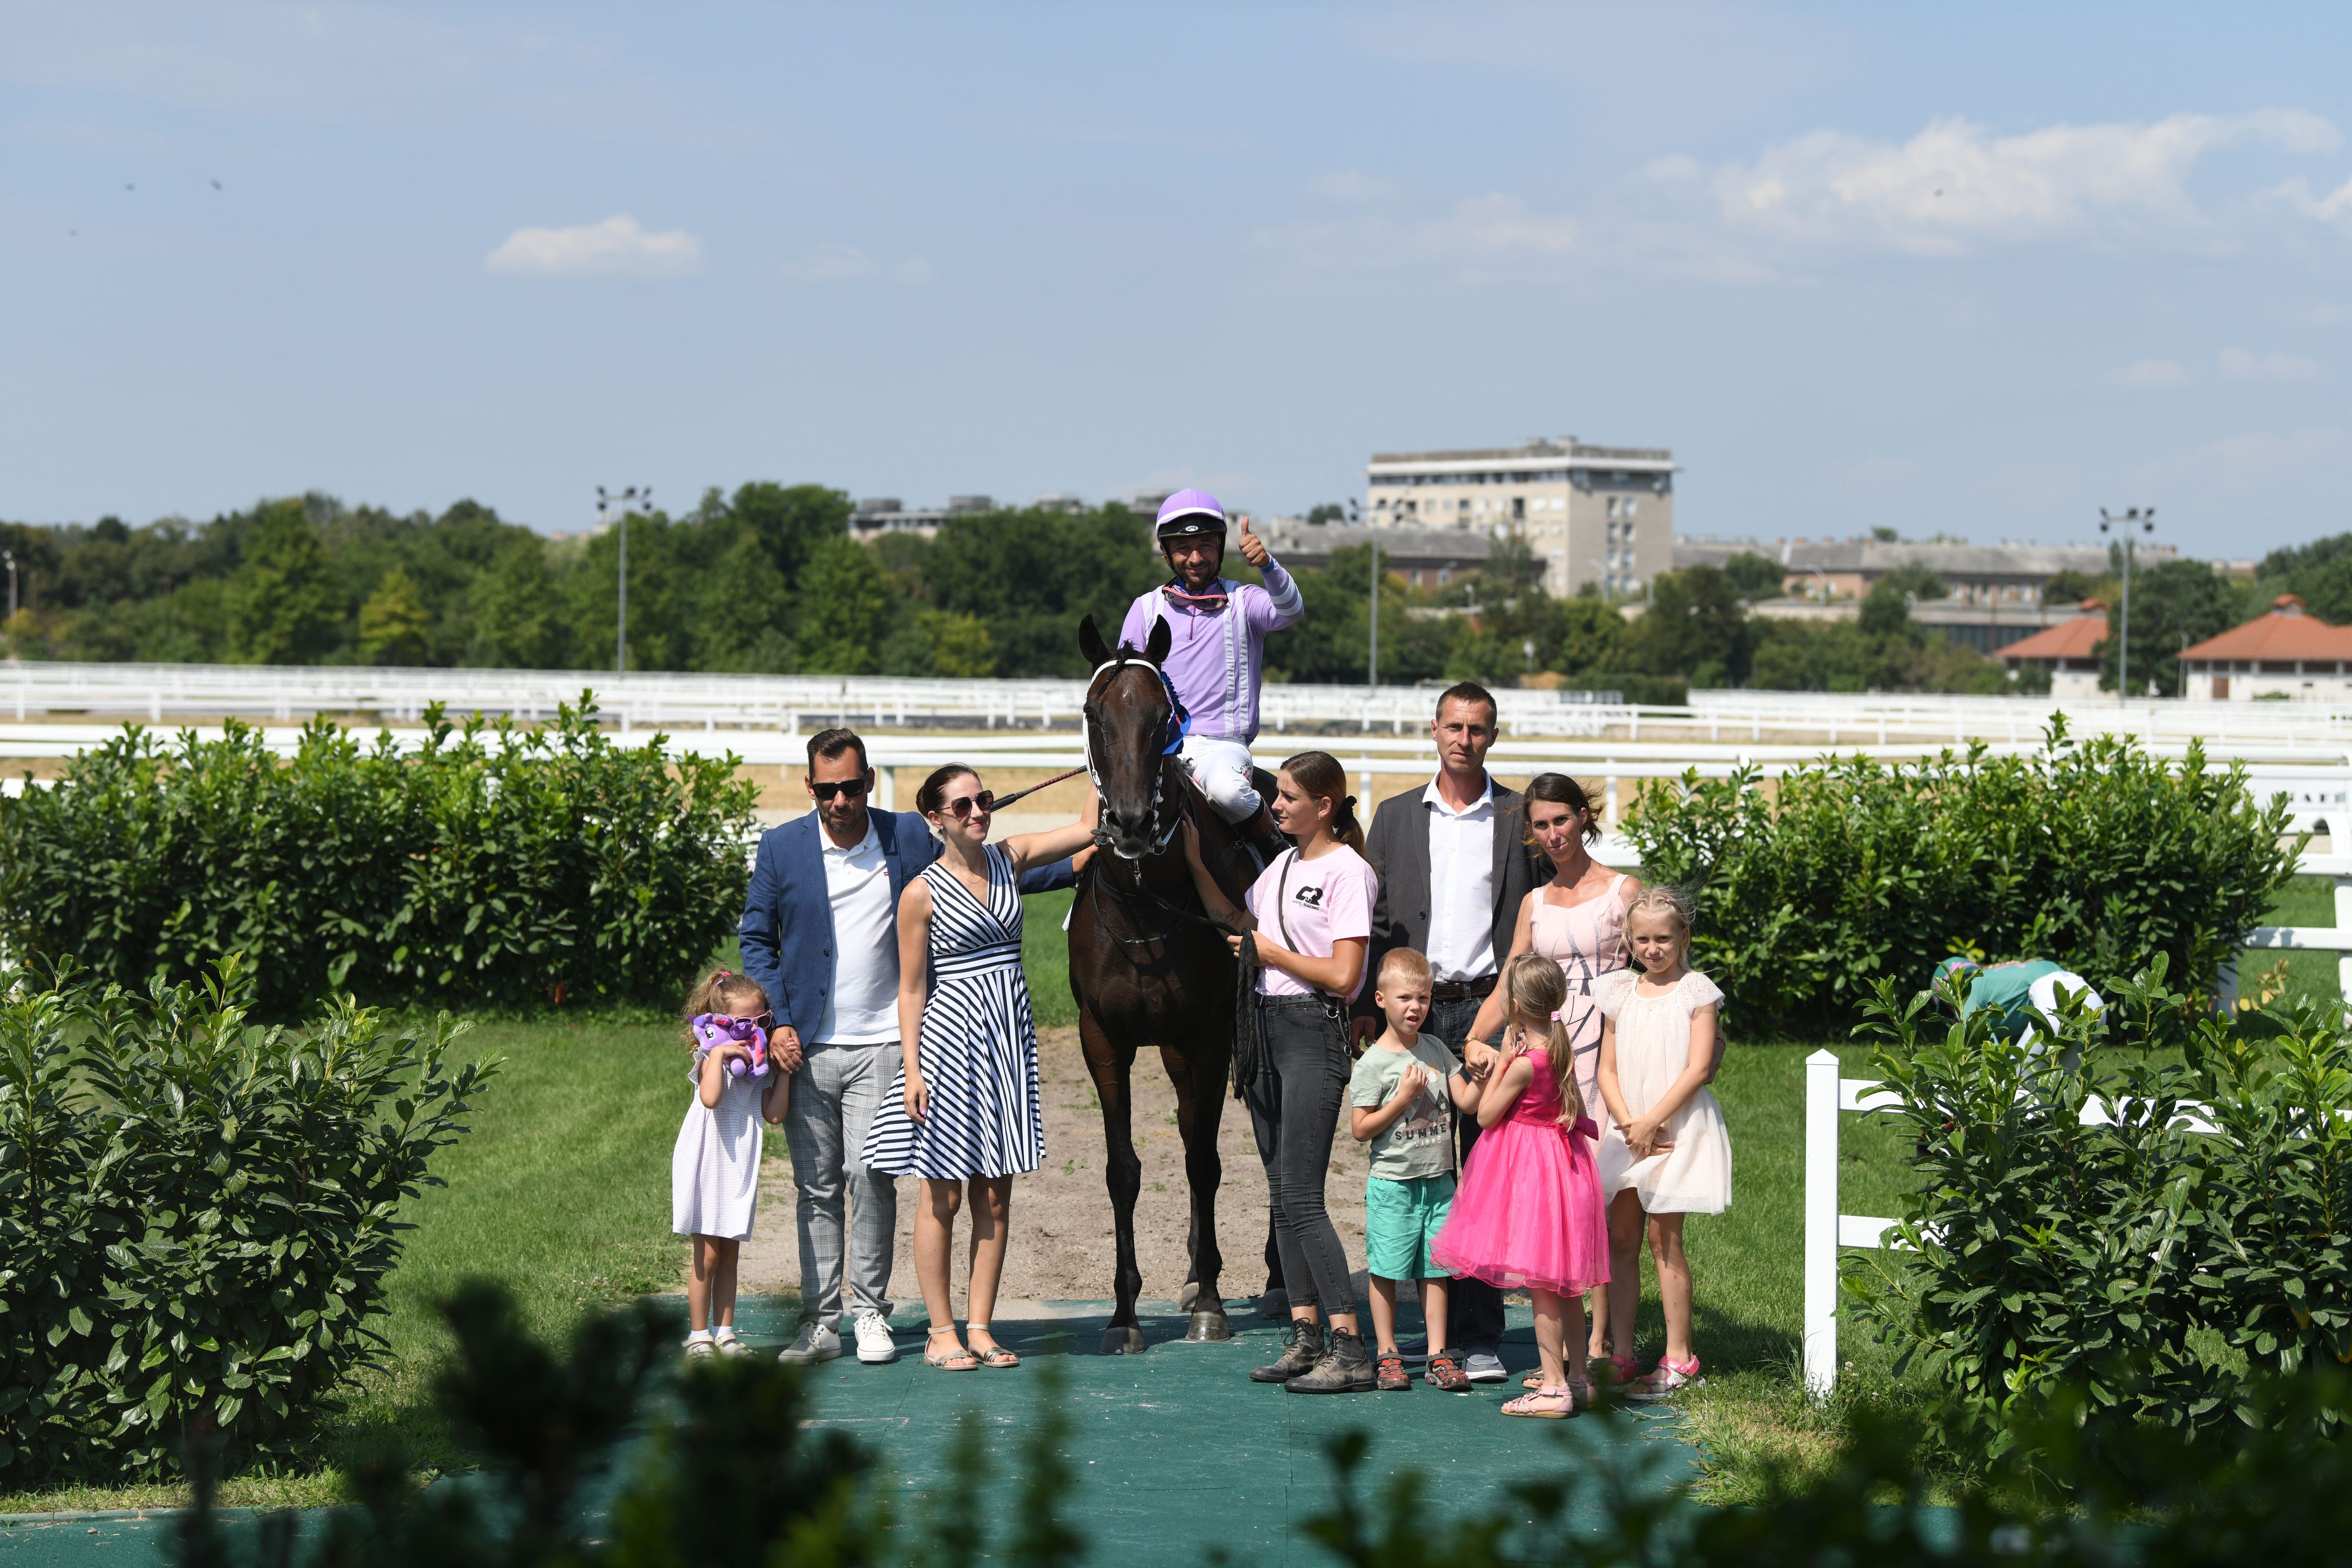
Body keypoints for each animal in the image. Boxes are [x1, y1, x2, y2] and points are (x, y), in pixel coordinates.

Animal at [1072, 611, 1260, 1354]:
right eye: (1094, 713)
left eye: (1165, 717)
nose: (1128, 821)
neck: (1145, 904)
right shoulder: (1103, 1039)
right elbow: (1124, 1169)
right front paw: (1124, 1314)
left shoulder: (1210, 1035)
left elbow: (1206, 1162)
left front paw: (1212, 1304)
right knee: (1185, 1128)